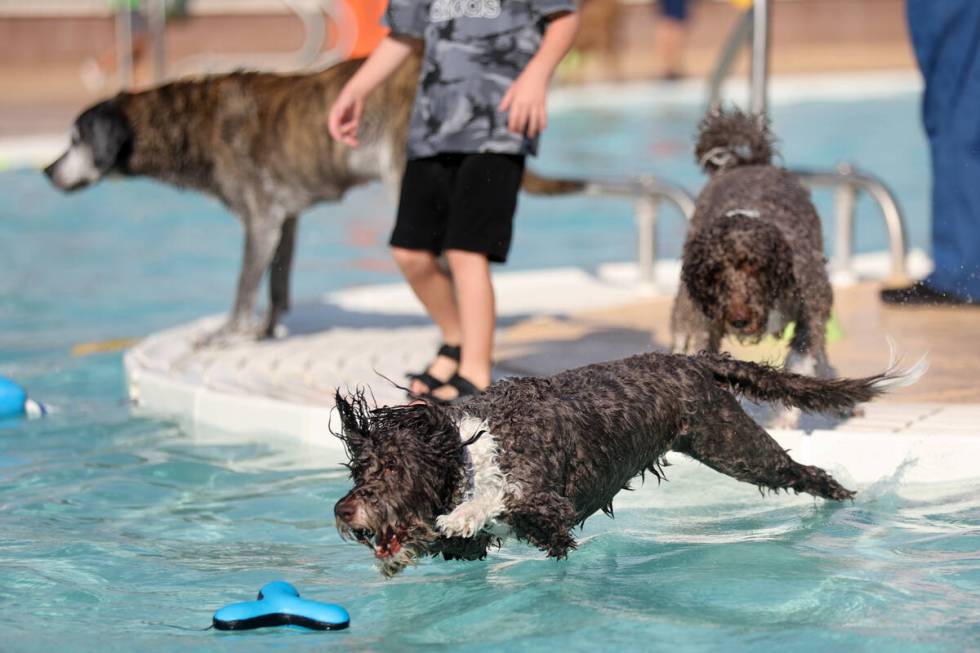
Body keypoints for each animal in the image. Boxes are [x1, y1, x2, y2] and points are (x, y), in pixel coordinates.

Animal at [334, 352, 924, 576]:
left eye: (392, 469)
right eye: (359, 471)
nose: (343, 511)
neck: (470, 451)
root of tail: (692, 359)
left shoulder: (547, 506)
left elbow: (509, 501)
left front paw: (460, 514)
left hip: (734, 448)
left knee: (804, 474)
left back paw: (850, 501)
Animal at [668, 108, 832, 392]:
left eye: (752, 265)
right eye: (714, 274)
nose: (739, 320)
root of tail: (746, 163)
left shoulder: (814, 301)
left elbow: (804, 347)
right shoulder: (705, 318)